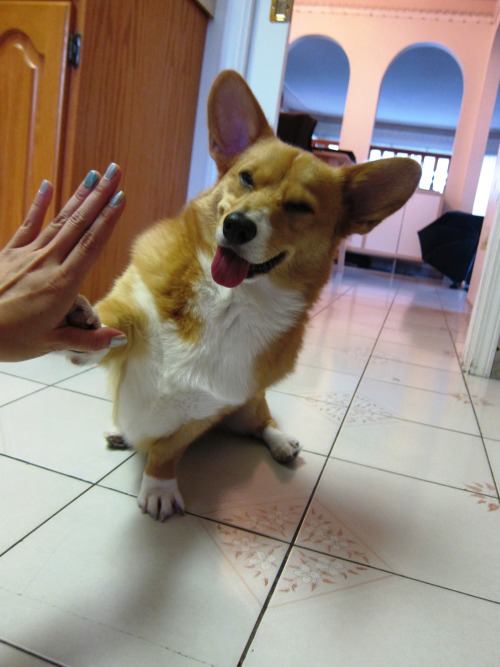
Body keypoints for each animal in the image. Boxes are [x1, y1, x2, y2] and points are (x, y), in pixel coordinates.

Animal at [69, 72, 422, 520]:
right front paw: (82, 322)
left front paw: (160, 487)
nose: (237, 226)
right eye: (247, 178)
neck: (226, 300)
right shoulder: (133, 308)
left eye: (299, 207)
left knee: (262, 423)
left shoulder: (205, 411)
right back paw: (121, 431)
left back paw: (283, 443)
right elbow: (113, 323)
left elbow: (167, 452)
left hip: (249, 406)